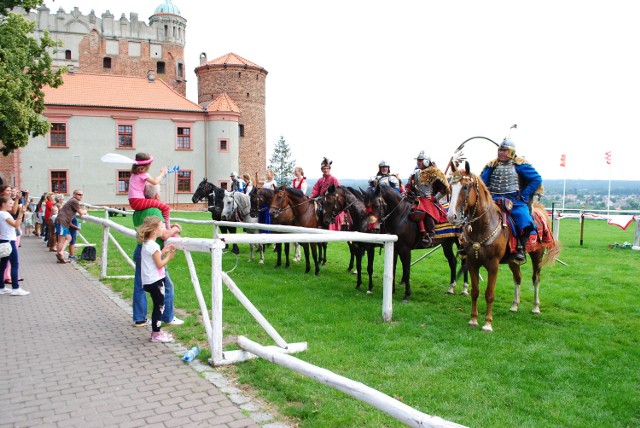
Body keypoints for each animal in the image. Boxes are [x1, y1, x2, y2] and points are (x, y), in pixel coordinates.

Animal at [444, 160, 560, 332]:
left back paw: (535, 307)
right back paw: (514, 305)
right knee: (518, 277)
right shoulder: (472, 263)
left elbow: (489, 294)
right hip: (513, 260)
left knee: (536, 278)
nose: (452, 216)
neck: (483, 225)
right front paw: (473, 320)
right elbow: (475, 291)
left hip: (537, 256)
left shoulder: (493, 265)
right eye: (451, 187)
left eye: (465, 187)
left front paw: (487, 324)